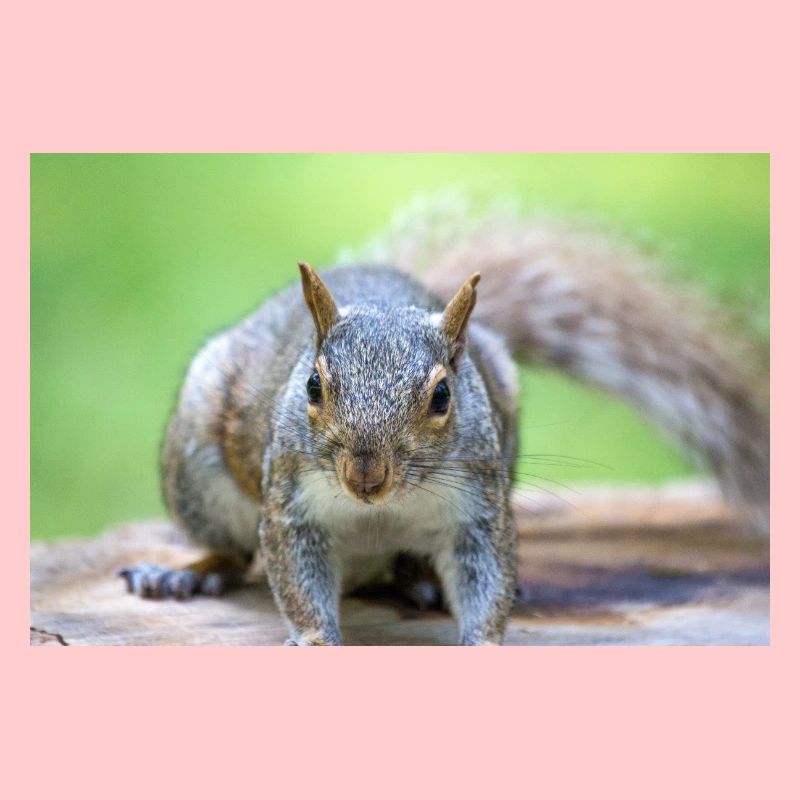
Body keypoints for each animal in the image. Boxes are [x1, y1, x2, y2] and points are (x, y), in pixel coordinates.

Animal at [118, 198, 770, 645]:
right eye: (312, 386)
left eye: (442, 396)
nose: (366, 476)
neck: (378, 511)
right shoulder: (290, 501)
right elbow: (294, 576)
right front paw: (315, 639)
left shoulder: (478, 509)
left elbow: (486, 575)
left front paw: (483, 638)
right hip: (199, 474)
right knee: (231, 552)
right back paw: (183, 575)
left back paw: (420, 579)